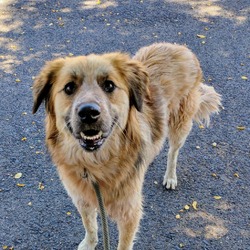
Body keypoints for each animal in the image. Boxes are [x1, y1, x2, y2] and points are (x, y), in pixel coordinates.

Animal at [32, 42, 221, 249]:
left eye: (109, 85)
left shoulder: (130, 214)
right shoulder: (82, 200)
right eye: (69, 88)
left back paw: (170, 176)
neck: (96, 165)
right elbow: (90, 227)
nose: (89, 112)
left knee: (173, 152)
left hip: (181, 122)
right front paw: (89, 243)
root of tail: (180, 47)